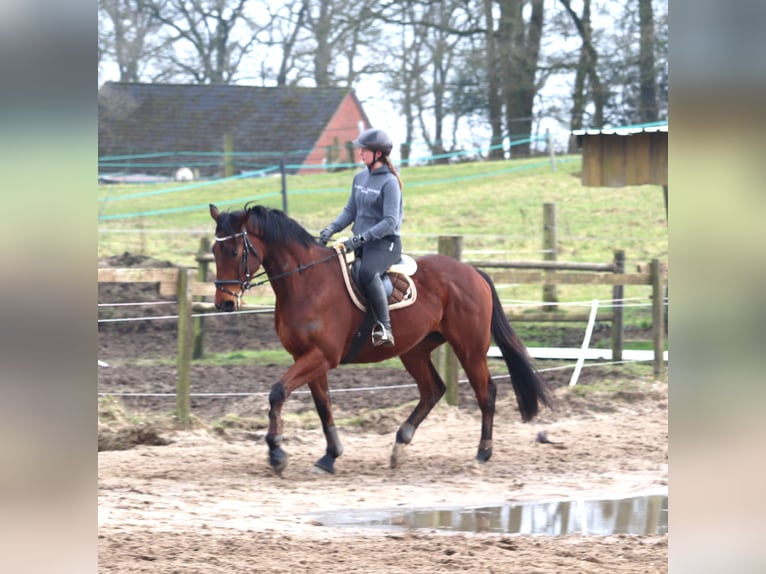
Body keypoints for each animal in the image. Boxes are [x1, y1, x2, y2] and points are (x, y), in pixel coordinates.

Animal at [210, 205, 552, 474]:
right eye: (214, 251)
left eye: (235, 252)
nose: (224, 303)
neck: (306, 283)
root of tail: (472, 271)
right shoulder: (307, 357)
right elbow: (323, 406)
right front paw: (330, 456)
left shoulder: (321, 356)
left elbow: (278, 392)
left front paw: (277, 452)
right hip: (414, 350)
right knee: (433, 390)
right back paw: (400, 444)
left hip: (469, 348)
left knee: (486, 392)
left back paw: (482, 453)